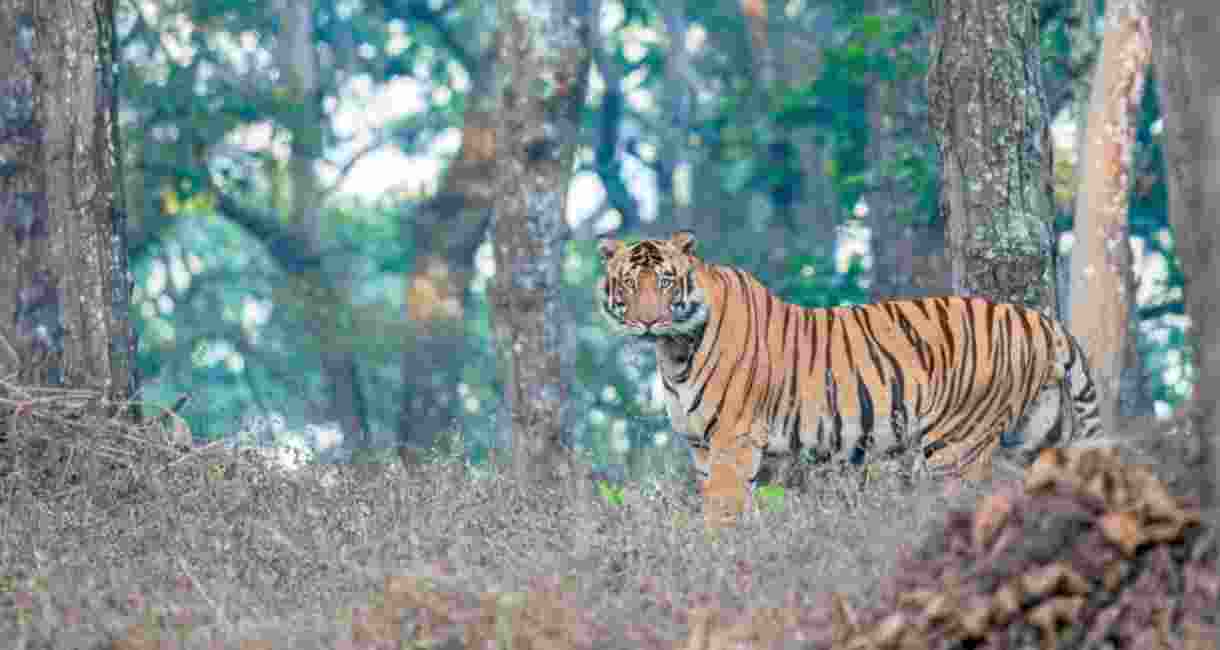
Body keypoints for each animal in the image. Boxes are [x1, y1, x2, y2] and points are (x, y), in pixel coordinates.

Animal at [596, 231, 1101, 527]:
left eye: (665, 282)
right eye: (629, 283)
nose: (648, 321)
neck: (673, 350)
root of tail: (1038, 321)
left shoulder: (732, 441)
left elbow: (722, 511)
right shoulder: (702, 446)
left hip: (956, 446)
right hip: (1038, 434)